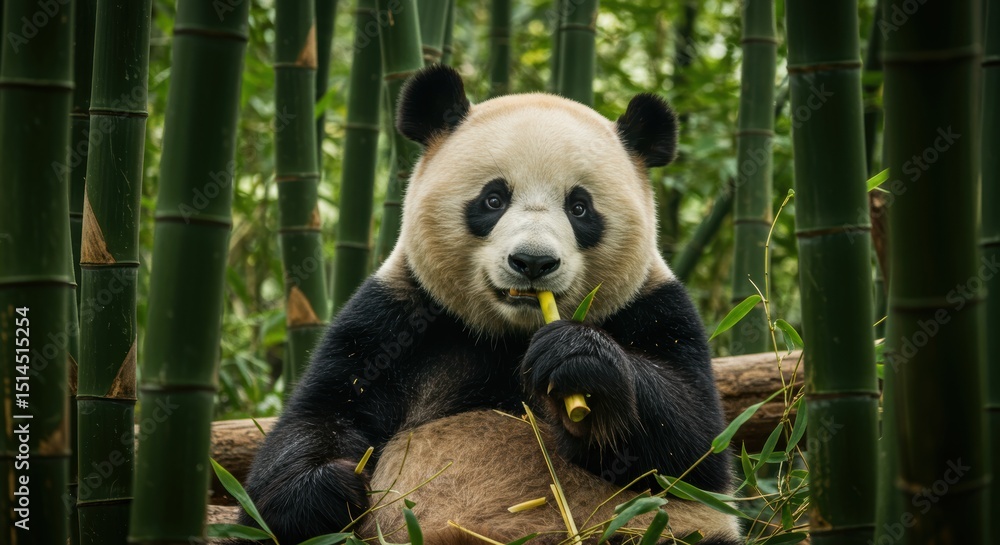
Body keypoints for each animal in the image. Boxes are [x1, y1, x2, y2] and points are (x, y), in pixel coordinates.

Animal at [238, 65, 741, 545]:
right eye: (493, 199)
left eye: (580, 207)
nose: (533, 262)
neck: (511, 336)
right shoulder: (394, 317)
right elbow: (320, 417)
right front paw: (327, 488)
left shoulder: (656, 307)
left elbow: (694, 450)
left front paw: (579, 363)